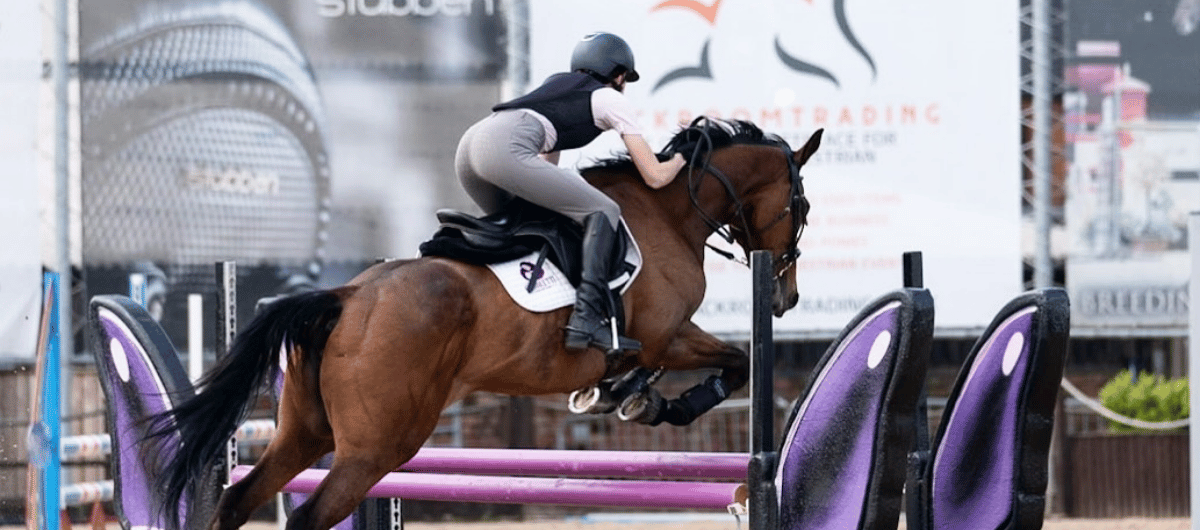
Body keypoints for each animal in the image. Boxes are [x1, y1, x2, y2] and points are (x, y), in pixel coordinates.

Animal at [150, 117, 823, 530]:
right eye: (802, 205)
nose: (787, 297)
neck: (668, 209)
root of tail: (346, 297)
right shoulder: (667, 333)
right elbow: (735, 360)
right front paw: (664, 405)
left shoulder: (659, 341)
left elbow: (661, 368)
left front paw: (619, 395)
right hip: (375, 448)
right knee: (311, 513)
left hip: (304, 433)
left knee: (238, 497)